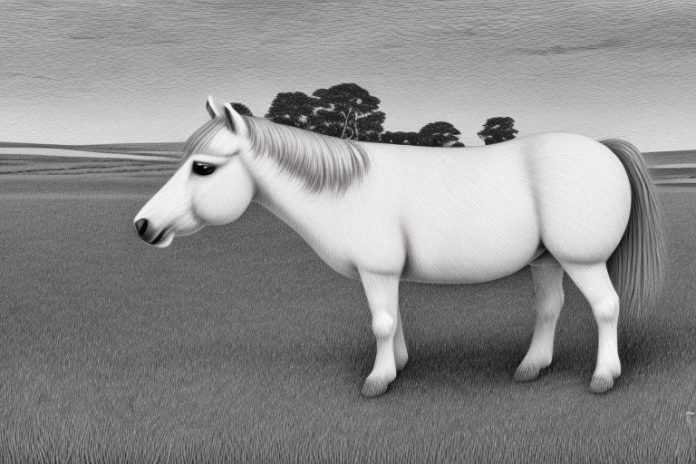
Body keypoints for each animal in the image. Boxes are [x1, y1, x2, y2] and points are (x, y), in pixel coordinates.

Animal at [134, 97, 664, 397]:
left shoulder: (377, 270)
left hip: (582, 260)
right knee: (550, 309)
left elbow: (382, 323)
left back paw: (604, 377)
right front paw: (399, 367)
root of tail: (602, 147)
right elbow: (394, 319)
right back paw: (531, 368)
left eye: (203, 168)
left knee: (605, 307)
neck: (344, 190)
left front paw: (377, 382)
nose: (143, 226)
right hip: (547, 260)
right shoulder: (386, 274)